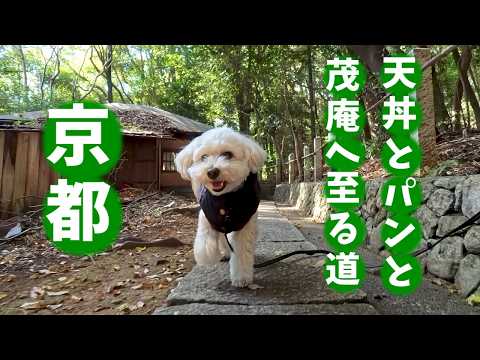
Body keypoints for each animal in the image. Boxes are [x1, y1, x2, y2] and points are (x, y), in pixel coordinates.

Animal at [175, 126, 266, 286]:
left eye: (227, 154)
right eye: (204, 157)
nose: (212, 172)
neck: (225, 199)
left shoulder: (246, 223)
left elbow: (242, 251)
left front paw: (241, 278)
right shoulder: (207, 214)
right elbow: (205, 239)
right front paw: (208, 256)